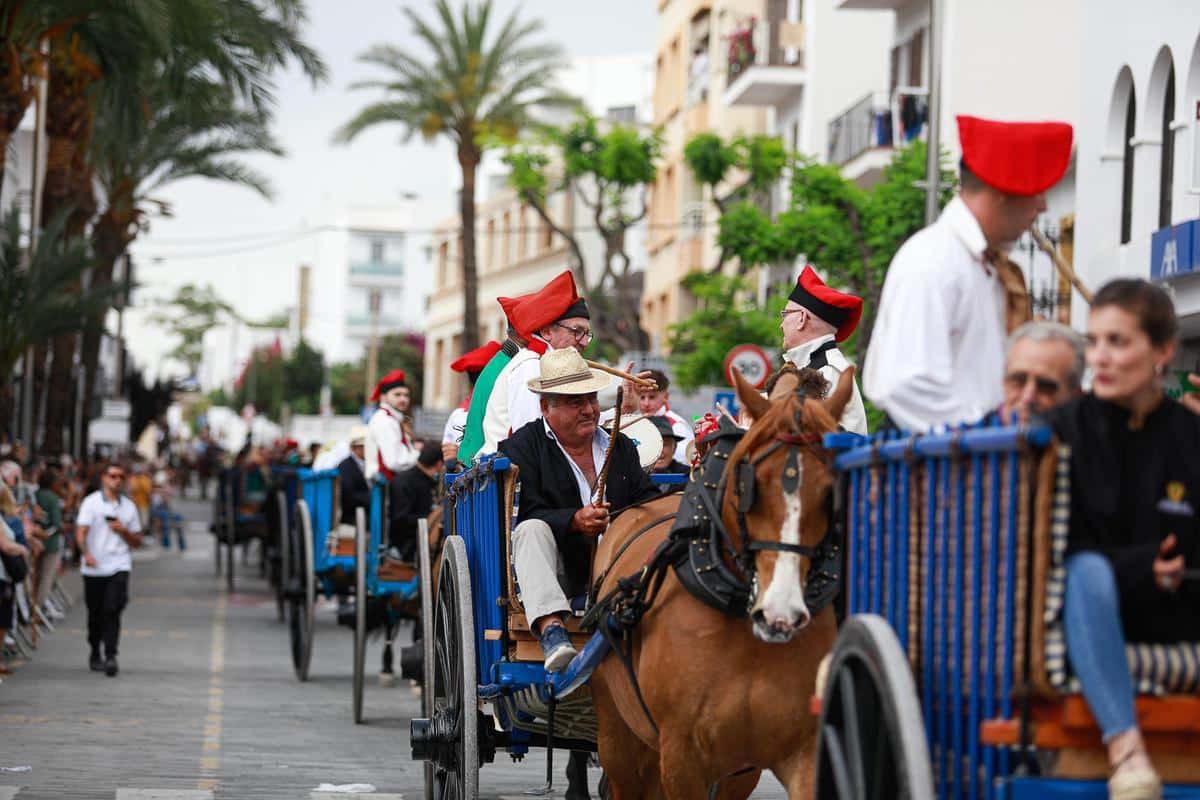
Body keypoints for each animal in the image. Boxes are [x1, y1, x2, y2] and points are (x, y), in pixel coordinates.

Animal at [588, 367, 854, 796]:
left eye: (831, 491)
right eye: (750, 484)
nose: (780, 611)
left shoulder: (794, 754)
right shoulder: (681, 756)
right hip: (618, 735)